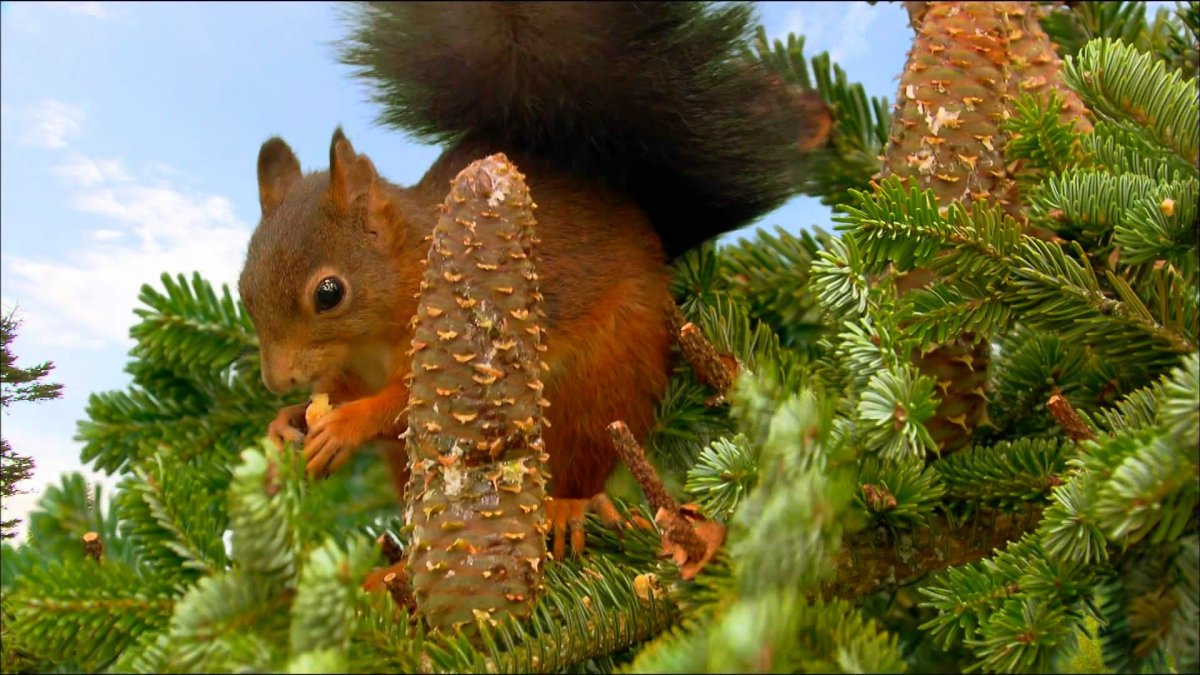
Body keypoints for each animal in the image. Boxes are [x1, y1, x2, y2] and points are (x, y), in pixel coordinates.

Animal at [237, 1, 831, 565]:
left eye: (329, 293)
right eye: (243, 288)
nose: (277, 381)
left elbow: (413, 407)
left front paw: (345, 426)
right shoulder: (354, 367)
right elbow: (341, 391)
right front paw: (286, 422)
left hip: (603, 379)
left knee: (587, 458)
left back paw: (568, 507)